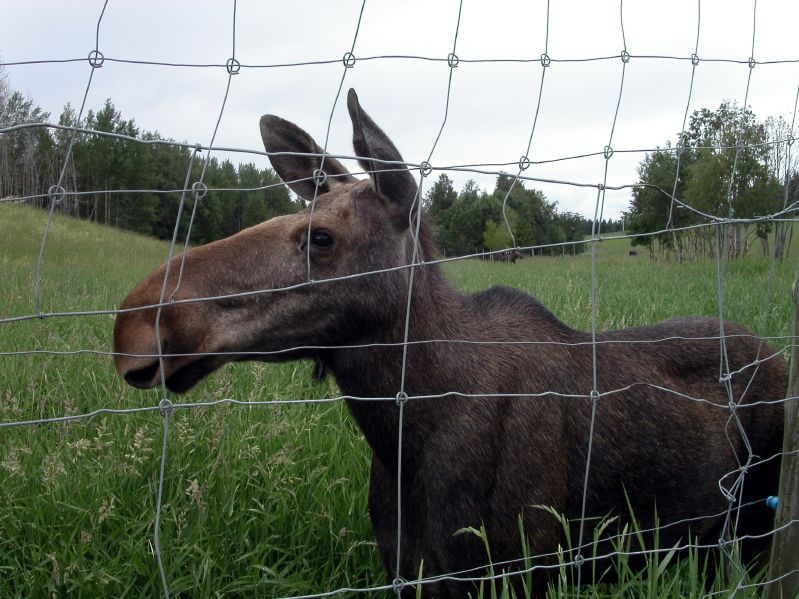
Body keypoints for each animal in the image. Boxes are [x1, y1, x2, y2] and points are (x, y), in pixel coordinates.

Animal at [114, 90, 788, 599]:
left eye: (322, 237)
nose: (135, 323)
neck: (404, 433)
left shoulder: (521, 569)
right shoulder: (409, 571)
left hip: (754, 528)